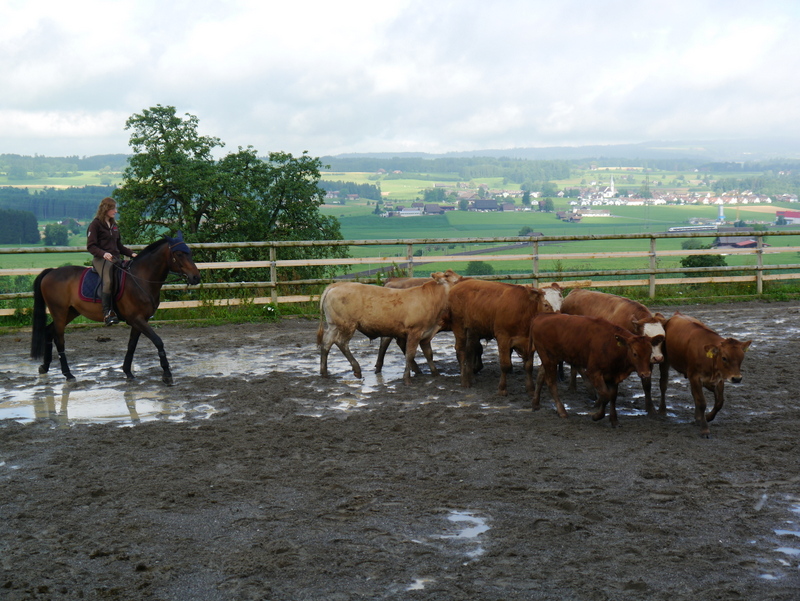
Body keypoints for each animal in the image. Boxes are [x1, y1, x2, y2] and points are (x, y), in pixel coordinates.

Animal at [30, 232, 201, 385]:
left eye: (190, 253)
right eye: (179, 254)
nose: (196, 277)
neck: (141, 279)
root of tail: (51, 272)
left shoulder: (140, 321)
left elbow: (132, 345)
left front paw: (128, 372)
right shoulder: (137, 319)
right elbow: (158, 341)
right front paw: (167, 375)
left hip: (70, 312)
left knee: (49, 331)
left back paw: (45, 367)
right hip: (59, 311)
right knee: (59, 339)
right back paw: (68, 374)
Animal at [317, 271, 456, 385]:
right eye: (455, 281)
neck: (429, 298)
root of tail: (336, 285)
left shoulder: (426, 334)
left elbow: (428, 354)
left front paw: (436, 374)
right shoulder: (414, 332)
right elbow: (410, 354)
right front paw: (407, 378)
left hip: (334, 325)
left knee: (327, 342)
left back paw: (324, 372)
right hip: (347, 325)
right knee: (341, 342)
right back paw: (357, 369)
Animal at [530, 313, 663, 427]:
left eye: (650, 352)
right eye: (635, 354)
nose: (646, 373)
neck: (612, 345)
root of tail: (540, 317)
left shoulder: (613, 376)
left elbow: (612, 396)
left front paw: (614, 420)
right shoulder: (593, 372)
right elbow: (605, 395)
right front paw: (597, 416)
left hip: (552, 358)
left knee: (540, 375)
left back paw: (535, 404)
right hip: (548, 357)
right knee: (551, 382)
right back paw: (562, 411)